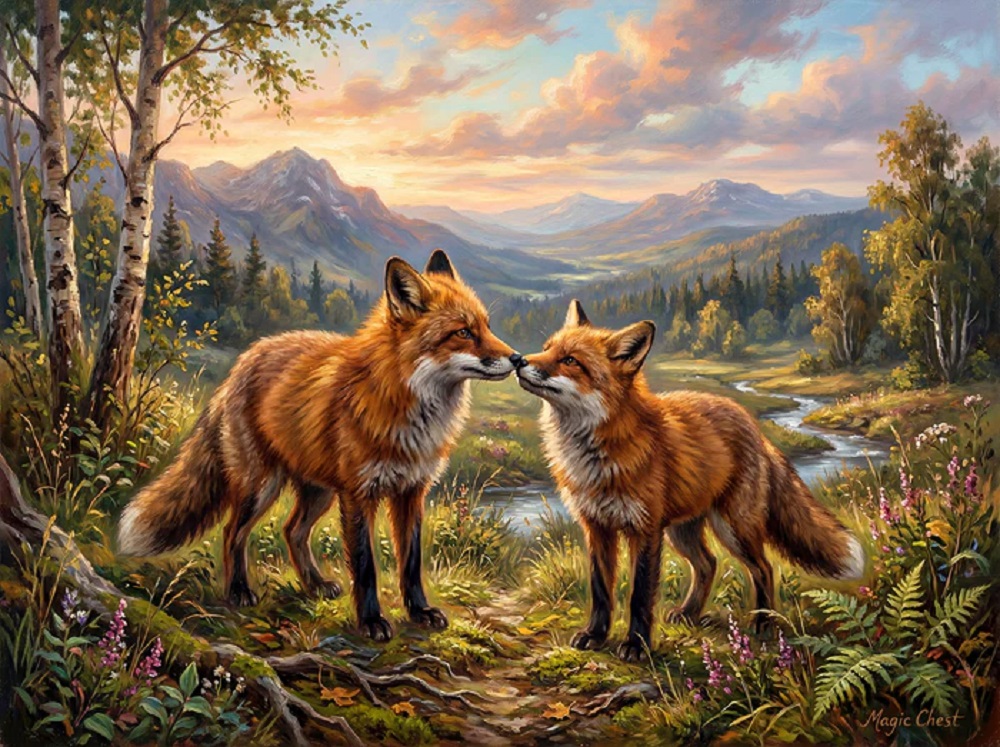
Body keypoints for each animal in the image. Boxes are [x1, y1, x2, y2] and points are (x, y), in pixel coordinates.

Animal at [118, 250, 520, 640]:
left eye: (487, 326)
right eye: (463, 332)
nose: (517, 358)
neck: (405, 404)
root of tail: (244, 360)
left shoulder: (411, 491)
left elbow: (410, 562)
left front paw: (419, 611)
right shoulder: (359, 494)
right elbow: (365, 565)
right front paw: (371, 621)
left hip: (319, 492)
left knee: (292, 531)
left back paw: (314, 585)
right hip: (261, 487)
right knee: (233, 532)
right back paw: (238, 591)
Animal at [515, 300, 865, 661]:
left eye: (570, 360)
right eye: (546, 348)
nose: (519, 360)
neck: (598, 454)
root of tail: (754, 426)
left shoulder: (645, 529)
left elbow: (640, 594)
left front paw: (636, 644)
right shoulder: (596, 526)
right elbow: (601, 590)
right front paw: (595, 635)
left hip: (732, 528)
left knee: (764, 568)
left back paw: (764, 623)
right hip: (681, 532)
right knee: (709, 564)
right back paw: (689, 613)